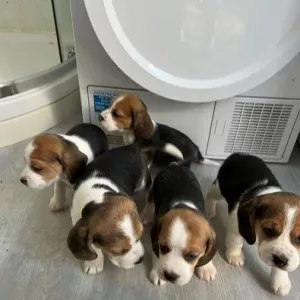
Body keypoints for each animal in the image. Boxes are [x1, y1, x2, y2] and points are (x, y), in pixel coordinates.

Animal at [68, 144, 152, 274]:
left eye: (140, 235)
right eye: (117, 251)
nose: (140, 259)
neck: (98, 197)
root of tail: (132, 146)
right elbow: (92, 245)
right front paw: (94, 262)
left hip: (143, 182)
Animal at [205, 152, 300, 296]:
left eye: (299, 238)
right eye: (268, 230)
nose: (280, 260)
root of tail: (239, 153)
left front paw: (281, 280)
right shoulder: (236, 225)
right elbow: (235, 242)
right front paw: (235, 255)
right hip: (219, 188)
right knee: (211, 195)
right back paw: (209, 208)